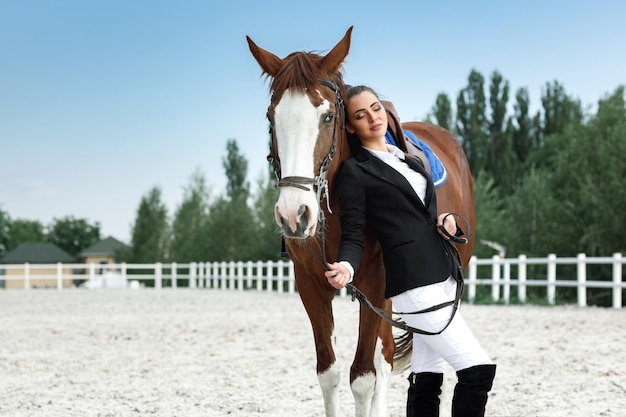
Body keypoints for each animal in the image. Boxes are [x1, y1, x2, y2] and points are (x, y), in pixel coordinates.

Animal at [246, 26, 476, 416]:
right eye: (270, 117)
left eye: (327, 117)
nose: (294, 214)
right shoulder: (310, 284)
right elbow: (329, 372)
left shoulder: (376, 283)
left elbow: (365, 376)